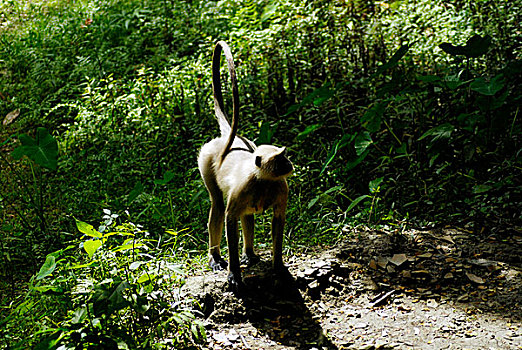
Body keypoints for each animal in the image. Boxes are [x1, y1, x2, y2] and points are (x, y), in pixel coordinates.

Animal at [197, 41, 292, 292]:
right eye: (280, 159)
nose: (288, 163)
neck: (263, 180)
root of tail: (228, 140)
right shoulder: (244, 186)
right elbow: (229, 218)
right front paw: (234, 274)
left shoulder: (281, 186)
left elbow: (277, 219)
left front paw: (278, 267)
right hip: (205, 158)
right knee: (218, 204)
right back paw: (216, 257)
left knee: (247, 214)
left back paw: (249, 254)